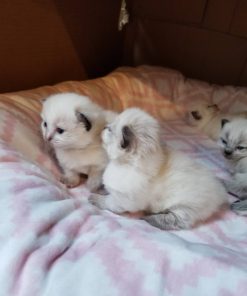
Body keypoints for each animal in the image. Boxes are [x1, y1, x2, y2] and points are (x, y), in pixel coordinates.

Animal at [89, 107, 228, 230]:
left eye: (109, 130)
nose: (103, 127)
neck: (124, 165)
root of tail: (221, 193)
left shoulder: (123, 200)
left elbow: (108, 202)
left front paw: (95, 198)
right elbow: (107, 190)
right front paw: (101, 190)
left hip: (184, 208)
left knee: (177, 222)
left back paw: (149, 217)